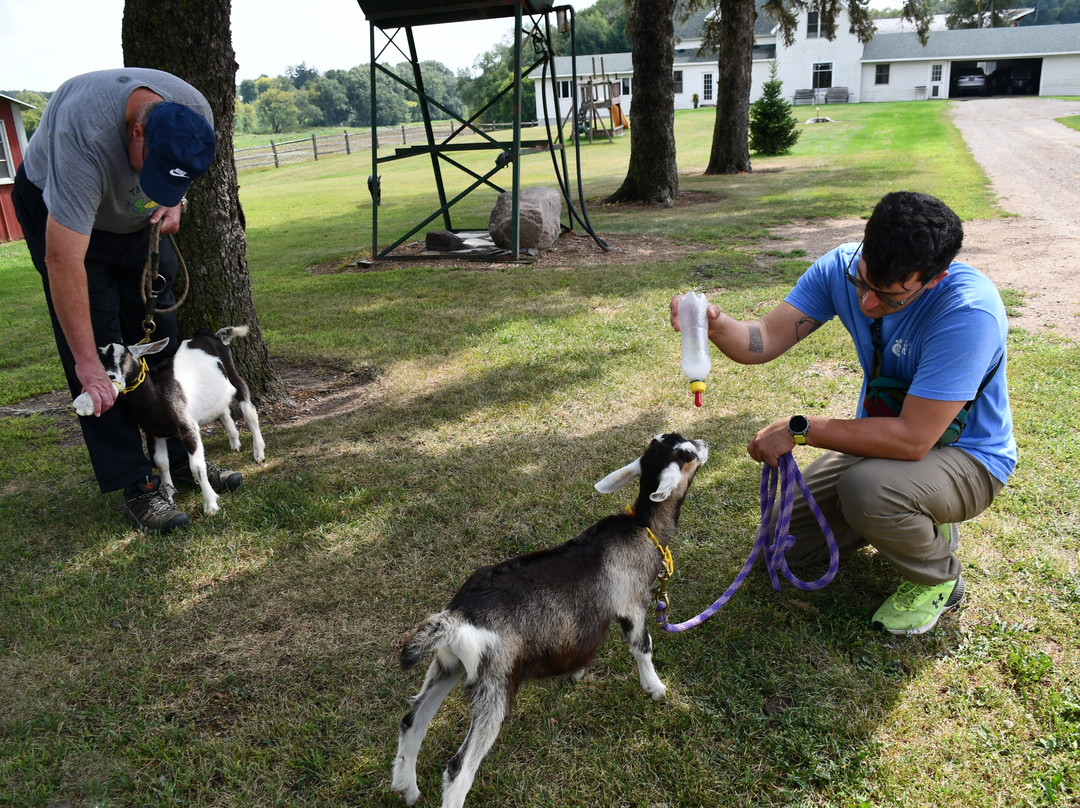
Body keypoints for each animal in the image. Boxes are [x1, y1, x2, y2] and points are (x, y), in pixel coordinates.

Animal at [93, 326, 265, 515]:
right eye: (99, 359)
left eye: (124, 355)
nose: (111, 377)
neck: (156, 396)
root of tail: (212, 336)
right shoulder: (153, 433)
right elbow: (162, 463)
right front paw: (168, 496)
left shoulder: (188, 428)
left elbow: (196, 467)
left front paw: (210, 504)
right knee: (223, 408)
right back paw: (235, 442)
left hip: (232, 372)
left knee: (249, 410)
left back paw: (259, 453)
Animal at [391, 433, 708, 808]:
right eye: (686, 453)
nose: (704, 443)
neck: (643, 528)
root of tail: (457, 616)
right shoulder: (632, 604)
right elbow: (642, 647)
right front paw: (656, 688)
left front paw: (578, 672)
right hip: (495, 683)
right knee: (458, 769)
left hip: (446, 665)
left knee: (412, 722)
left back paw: (407, 789)